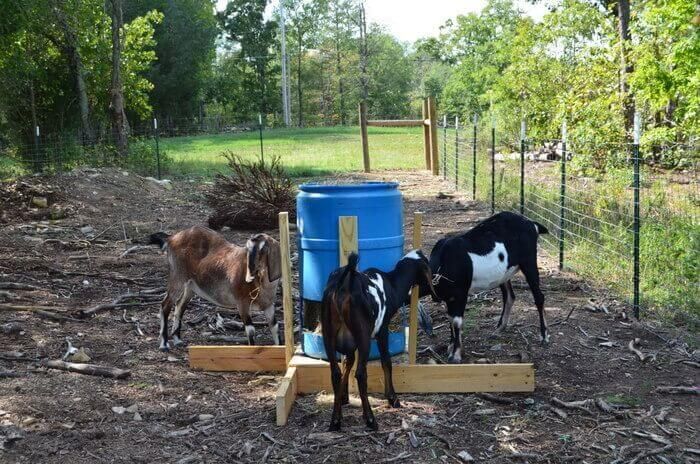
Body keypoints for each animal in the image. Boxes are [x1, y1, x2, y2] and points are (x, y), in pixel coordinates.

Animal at [150, 226, 282, 352]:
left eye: (263, 249)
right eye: (248, 250)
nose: (252, 274)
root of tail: (172, 238)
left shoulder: (269, 305)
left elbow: (275, 326)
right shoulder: (242, 303)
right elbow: (251, 330)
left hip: (190, 286)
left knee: (179, 306)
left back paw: (177, 340)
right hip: (178, 277)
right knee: (165, 305)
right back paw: (164, 344)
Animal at [320, 250, 434, 432]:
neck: (392, 284)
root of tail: (344, 283)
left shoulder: (350, 346)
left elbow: (347, 365)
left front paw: (342, 400)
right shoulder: (382, 331)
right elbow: (386, 362)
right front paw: (392, 398)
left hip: (328, 335)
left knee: (335, 373)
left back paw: (335, 421)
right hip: (363, 337)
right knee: (361, 374)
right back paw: (370, 420)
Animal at [426, 212, 552, 364]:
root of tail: (531, 224)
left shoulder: (460, 294)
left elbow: (456, 321)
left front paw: (455, 355)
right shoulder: (450, 298)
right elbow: (450, 318)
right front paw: (451, 347)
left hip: (529, 261)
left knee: (539, 297)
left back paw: (544, 336)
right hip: (505, 272)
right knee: (510, 296)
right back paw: (499, 329)